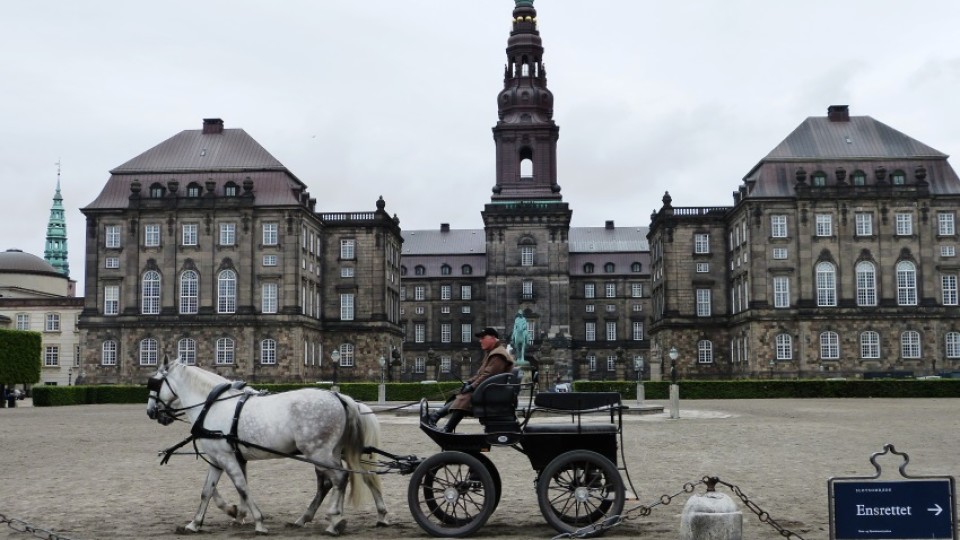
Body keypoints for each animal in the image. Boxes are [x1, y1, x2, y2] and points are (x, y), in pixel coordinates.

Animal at [146, 358, 386, 536]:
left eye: (154, 382)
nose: (150, 412)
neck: (213, 406)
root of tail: (338, 396)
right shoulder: (218, 459)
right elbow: (207, 491)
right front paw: (195, 523)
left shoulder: (227, 458)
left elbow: (242, 487)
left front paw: (258, 521)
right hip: (331, 453)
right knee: (348, 479)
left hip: (318, 453)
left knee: (340, 479)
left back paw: (335, 520)